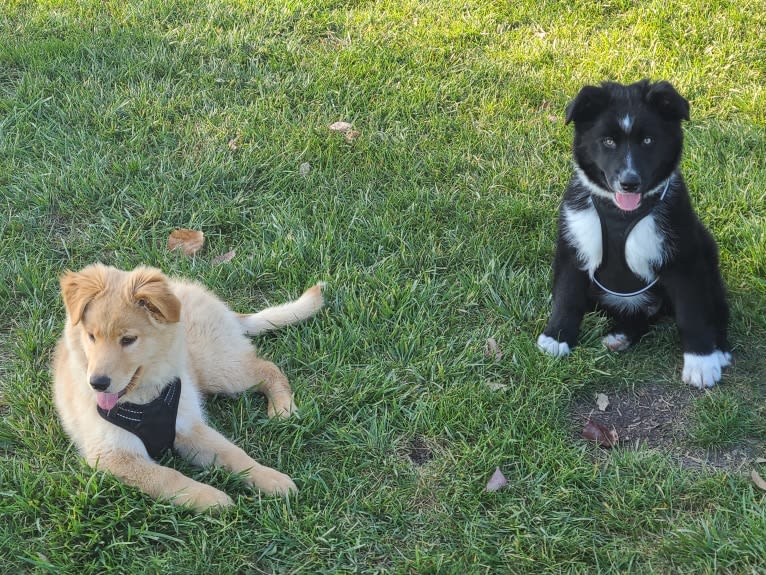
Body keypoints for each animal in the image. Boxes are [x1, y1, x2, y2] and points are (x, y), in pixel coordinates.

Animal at [52, 264, 324, 510]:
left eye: (128, 340)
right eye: (91, 336)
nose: (97, 383)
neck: (144, 400)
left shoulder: (188, 425)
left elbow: (233, 453)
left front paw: (271, 478)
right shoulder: (114, 456)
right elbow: (167, 477)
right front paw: (213, 499)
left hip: (217, 368)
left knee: (269, 368)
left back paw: (282, 408)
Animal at [536, 79, 736, 390]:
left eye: (648, 141)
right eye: (607, 141)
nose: (629, 183)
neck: (622, 215)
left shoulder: (683, 258)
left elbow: (692, 311)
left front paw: (701, 362)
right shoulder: (574, 245)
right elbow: (567, 297)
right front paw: (556, 338)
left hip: (706, 252)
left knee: (716, 306)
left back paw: (720, 349)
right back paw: (620, 336)